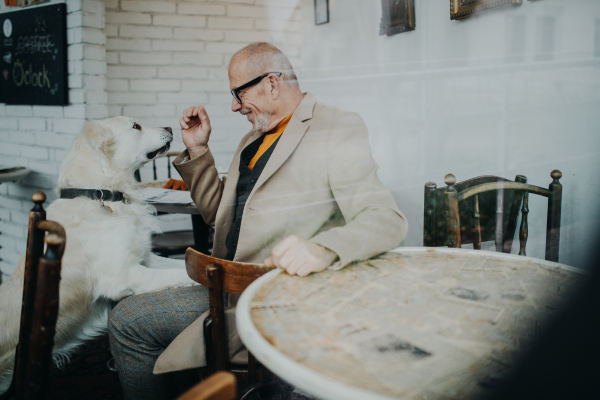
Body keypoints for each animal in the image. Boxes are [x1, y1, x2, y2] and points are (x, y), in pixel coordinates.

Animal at [0, 117, 197, 392]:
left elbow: (184, 265)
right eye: (136, 126)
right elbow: (185, 274)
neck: (101, 195)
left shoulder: (145, 259)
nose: (170, 128)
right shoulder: (123, 276)